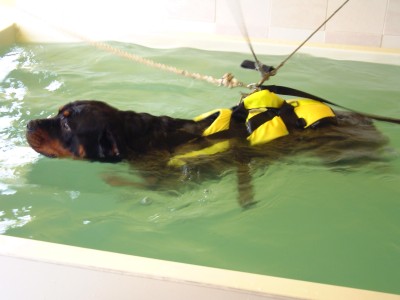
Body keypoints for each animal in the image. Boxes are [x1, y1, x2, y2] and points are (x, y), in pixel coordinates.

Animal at [25, 89, 388, 206]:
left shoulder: (174, 182)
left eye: (67, 125)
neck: (137, 138)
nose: (28, 124)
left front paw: (111, 181)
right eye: (58, 114)